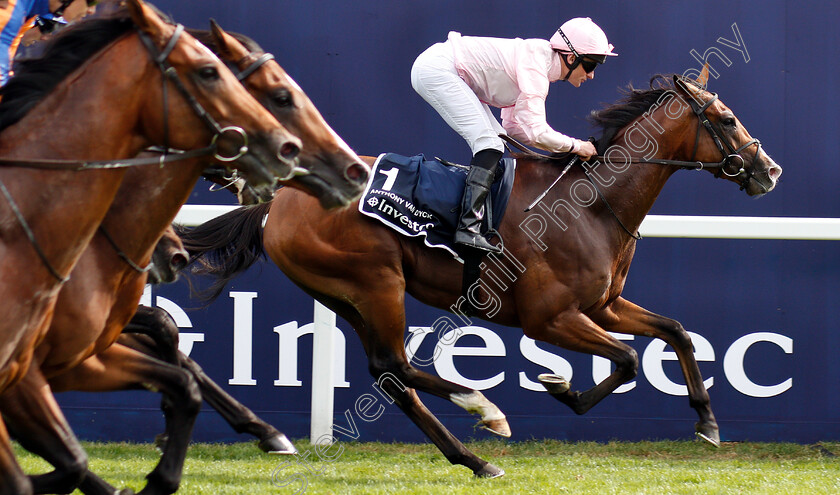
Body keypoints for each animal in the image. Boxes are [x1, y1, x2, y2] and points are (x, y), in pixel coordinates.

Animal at [180, 73, 784, 476]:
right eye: (726, 119)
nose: (770, 170)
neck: (593, 204)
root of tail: (280, 200)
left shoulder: (603, 305)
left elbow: (674, 332)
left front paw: (707, 423)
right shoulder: (550, 318)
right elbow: (629, 359)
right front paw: (561, 386)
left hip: (343, 296)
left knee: (390, 375)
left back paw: (471, 455)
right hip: (376, 283)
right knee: (395, 367)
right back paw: (483, 413)